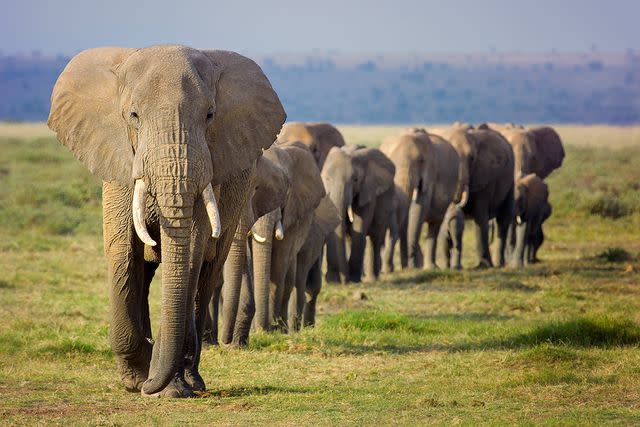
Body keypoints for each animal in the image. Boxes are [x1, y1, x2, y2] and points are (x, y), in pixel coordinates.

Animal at [46, 46, 284, 398]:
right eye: (133, 115)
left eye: (210, 115)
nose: (148, 384)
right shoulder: (119, 162)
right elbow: (122, 251)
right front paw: (136, 378)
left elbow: (191, 252)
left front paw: (164, 386)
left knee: (206, 276)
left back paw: (191, 380)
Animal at [322, 145, 398, 282]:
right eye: (327, 179)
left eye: (355, 180)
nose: (344, 280)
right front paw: (333, 280)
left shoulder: (368, 190)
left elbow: (359, 225)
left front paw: (353, 278)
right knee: (351, 238)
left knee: (375, 237)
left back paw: (372, 278)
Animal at [380, 129, 460, 272]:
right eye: (391, 161)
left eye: (421, 161)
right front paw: (407, 267)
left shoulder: (431, 172)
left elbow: (420, 205)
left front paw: (411, 267)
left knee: (435, 225)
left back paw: (430, 267)